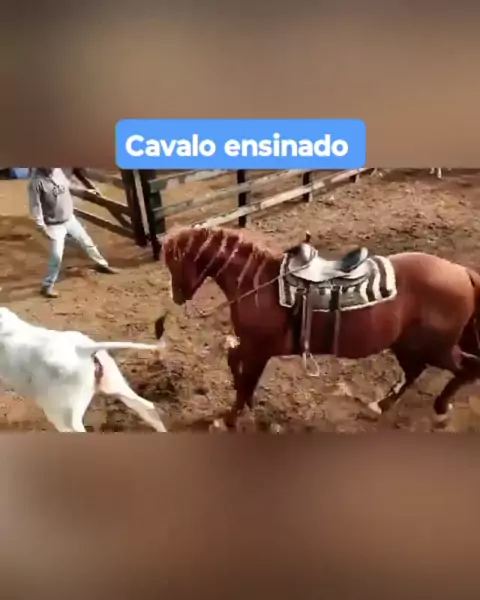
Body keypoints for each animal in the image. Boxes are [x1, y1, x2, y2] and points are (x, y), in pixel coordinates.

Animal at [157, 226, 480, 431]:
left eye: (174, 262)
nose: (177, 296)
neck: (256, 282)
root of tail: (462, 272)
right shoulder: (251, 347)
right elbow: (236, 366)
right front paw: (245, 405)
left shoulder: (258, 349)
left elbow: (245, 376)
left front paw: (230, 418)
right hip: (408, 343)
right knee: (415, 371)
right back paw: (381, 405)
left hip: (437, 347)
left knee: (466, 369)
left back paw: (441, 410)